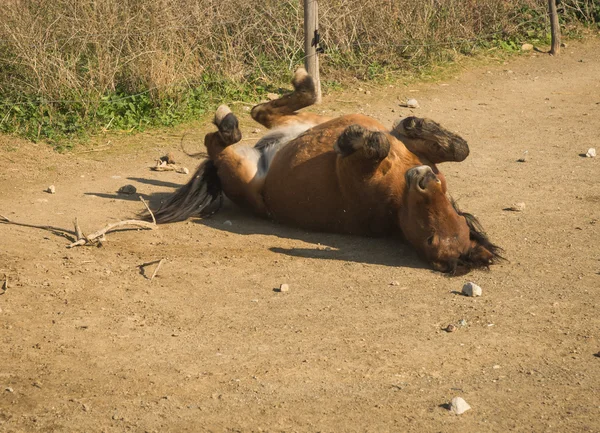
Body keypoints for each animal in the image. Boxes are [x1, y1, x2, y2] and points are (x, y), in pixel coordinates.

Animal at [150, 69, 502, 276]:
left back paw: (228, 122)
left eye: (431, 239)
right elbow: (458, 149)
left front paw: (353, 138)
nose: (424, 180)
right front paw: (416, 126)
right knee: (263, 111)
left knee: (219, 140)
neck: (397, 197)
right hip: (304, 121)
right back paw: (303, 83)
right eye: (452, 215)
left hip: (238, 168)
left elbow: (377, 146)